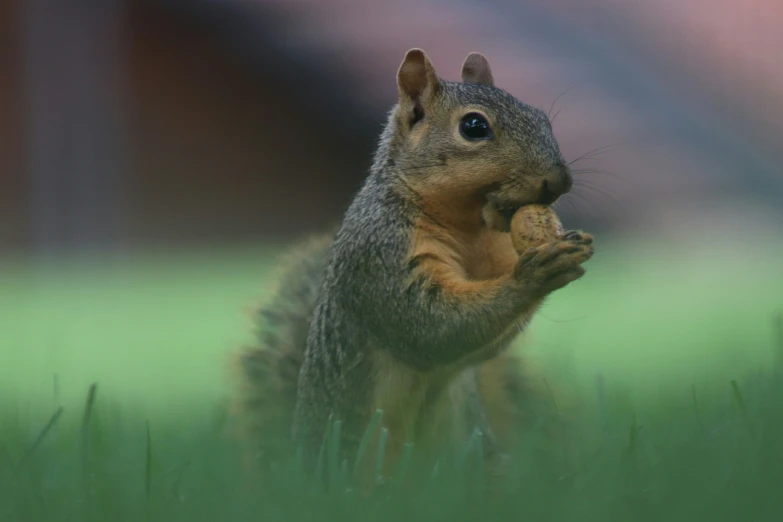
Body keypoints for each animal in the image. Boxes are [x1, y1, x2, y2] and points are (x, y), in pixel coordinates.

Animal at [230, 47, 596, 488]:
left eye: (542, 117)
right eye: (474, 126)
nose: (559, 181)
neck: (467, 225)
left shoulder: (493, 251)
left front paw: (569, 246)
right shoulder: (380, 251)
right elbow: (427, 325)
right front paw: (536, 273)